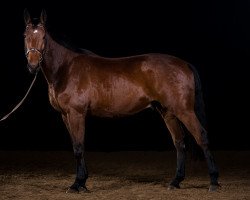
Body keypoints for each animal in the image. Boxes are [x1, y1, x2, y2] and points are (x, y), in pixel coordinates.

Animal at [23, 10, 219, 193]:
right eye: (25, 36)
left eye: (43, 37)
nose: (32, 65)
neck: (66, 68)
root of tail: (185, 64)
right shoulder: (65, 115)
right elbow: (75, 147)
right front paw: (82, 182)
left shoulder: (76, 113)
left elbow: (79, 147)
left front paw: (77, 184)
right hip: (168, 112)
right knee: (179, 142)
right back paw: (175, 181)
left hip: (184, 110)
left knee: (201, 136)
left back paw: (214, 182)